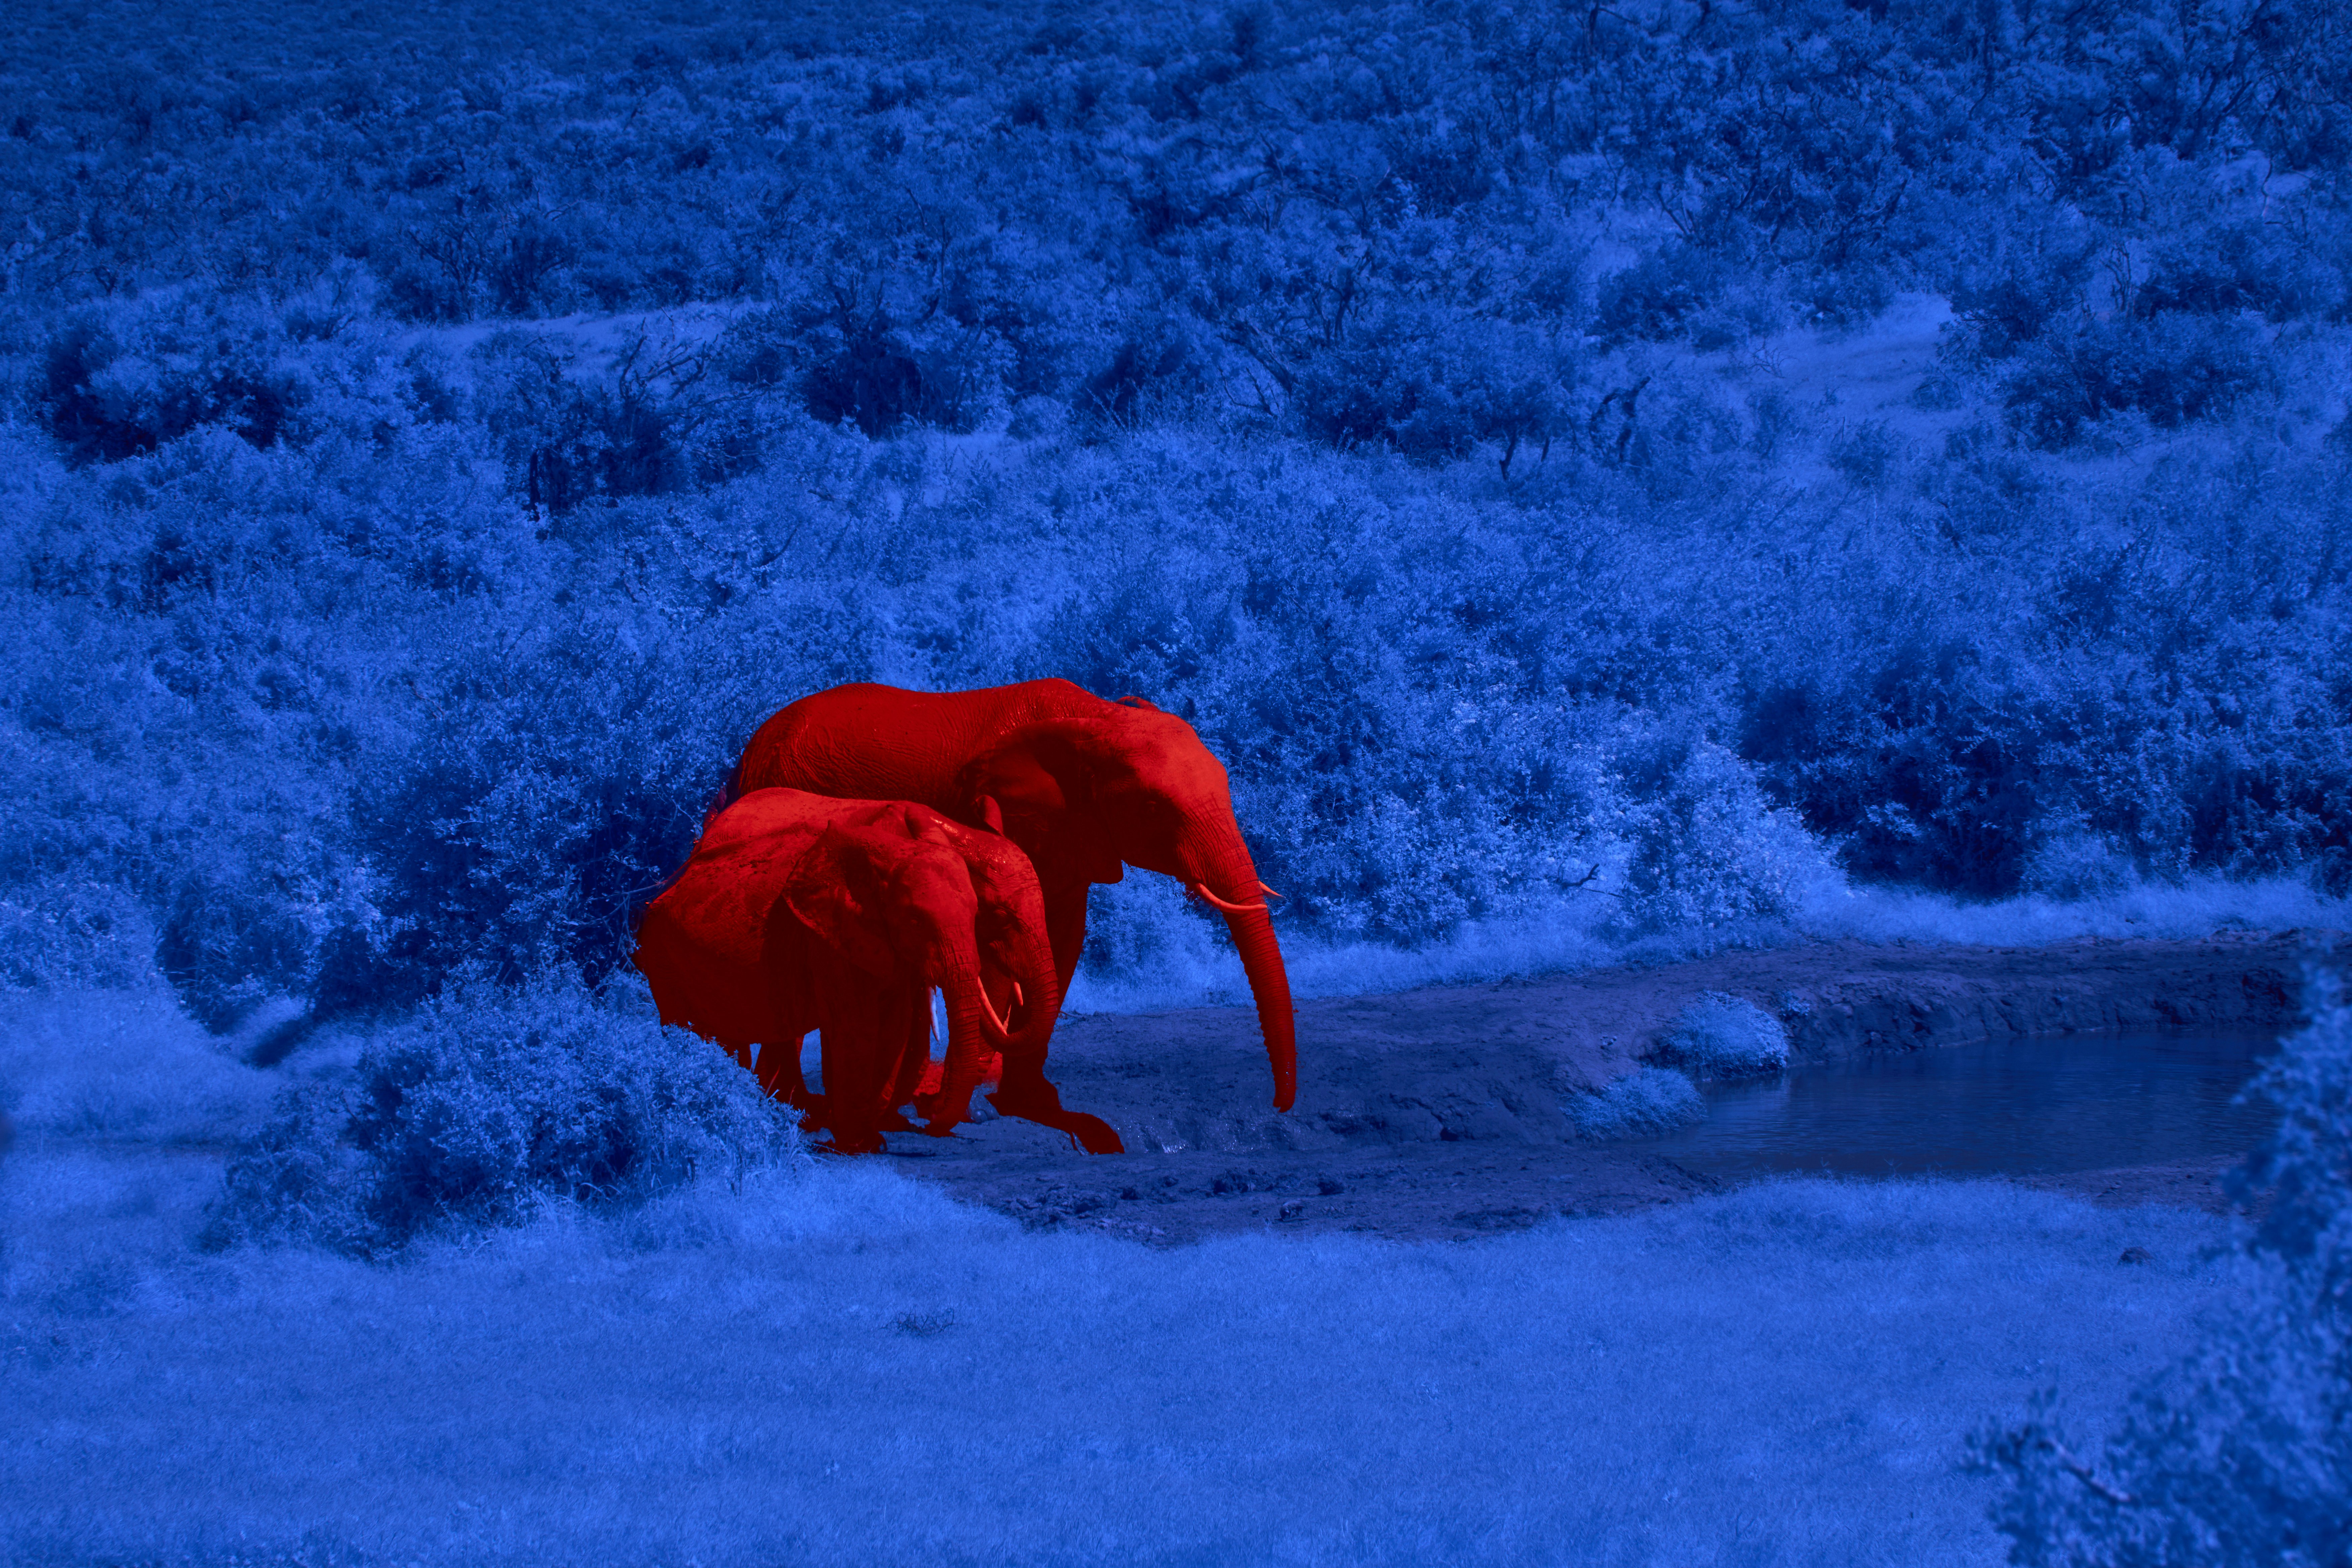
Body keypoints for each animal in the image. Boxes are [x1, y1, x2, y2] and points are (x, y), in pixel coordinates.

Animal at [633, 787, 1116, 1154]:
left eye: (983, 914)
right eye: (998, 915)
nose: (932, 1112)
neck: (955, 831)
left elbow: (902, 1022)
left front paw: (894, 1118)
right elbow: (874, 1023)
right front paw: (876, 1129)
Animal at [714, 679, 1296, 1128]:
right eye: (1154, 808)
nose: (1278, 1107)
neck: (1097, 718)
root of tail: (746, 753)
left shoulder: (1070, 831)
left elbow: (1063, 941)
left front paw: (1029, 1102)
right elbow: (998, 949)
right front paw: (968, 1104)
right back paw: (793, 1103)